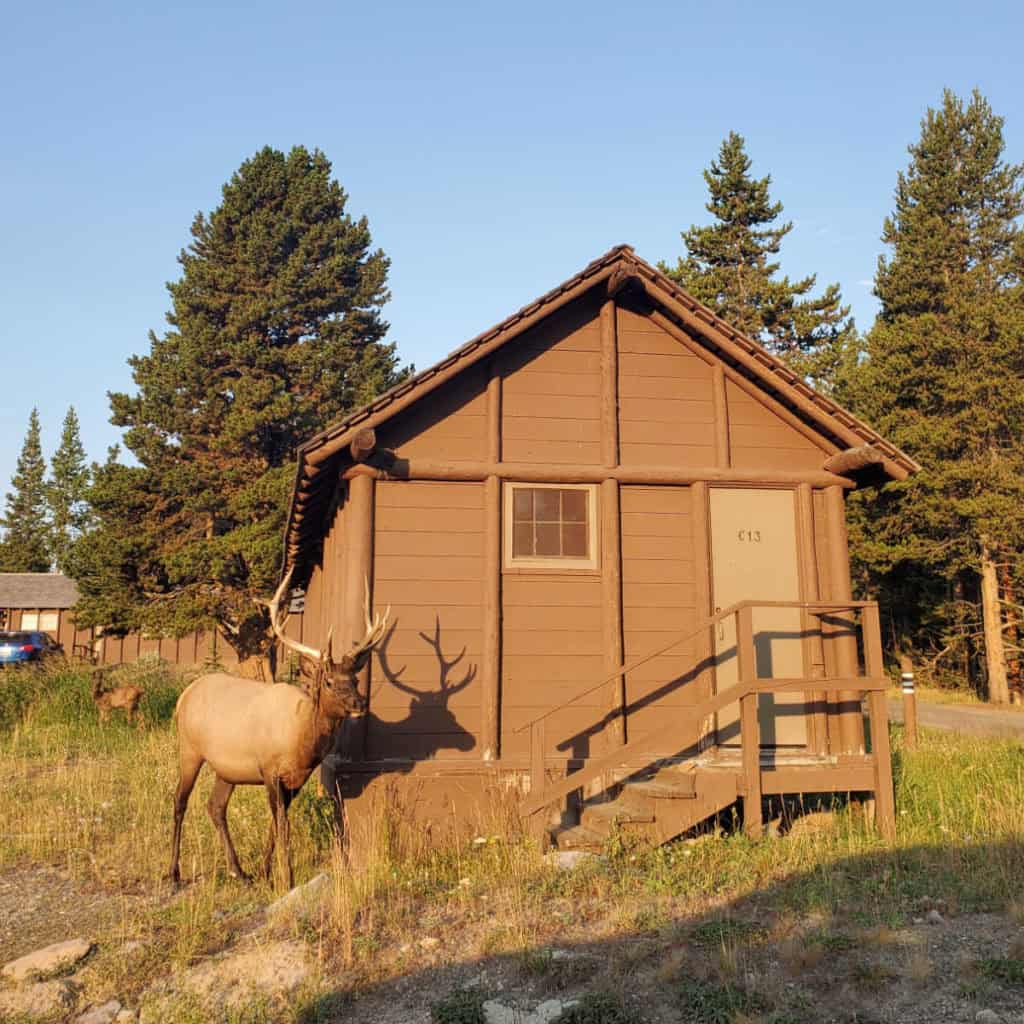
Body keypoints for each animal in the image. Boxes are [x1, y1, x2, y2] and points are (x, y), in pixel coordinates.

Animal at [167, 569, 387, 888]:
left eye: (355, 679)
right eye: (328, 681)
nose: (359, 702)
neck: (301, 741)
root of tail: (185, 694)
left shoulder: (297, 778)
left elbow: (275, 824)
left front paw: (264, 872)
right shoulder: (269, 768)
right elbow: (283, 825)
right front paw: (288, 879)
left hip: (227, 768)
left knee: (215, 806)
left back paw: (238, 871)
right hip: (189, 749)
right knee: (179, 800)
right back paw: (173, 873)